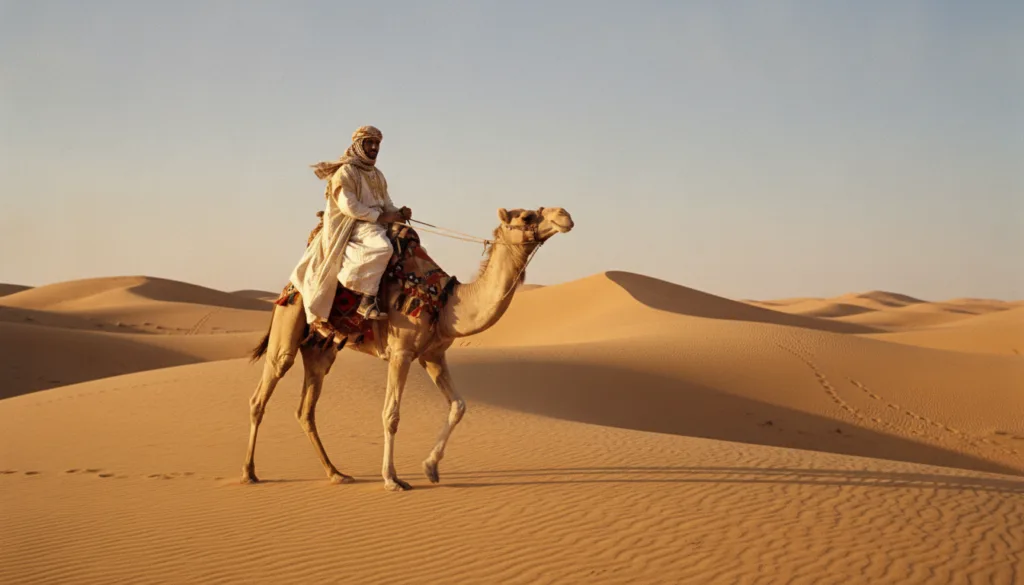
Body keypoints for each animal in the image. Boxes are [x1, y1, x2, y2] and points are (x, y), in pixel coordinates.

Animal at [243, 206, 574, 491]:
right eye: (527, 216)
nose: (564, 215)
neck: (447, 302)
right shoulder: (401, 352)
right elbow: (391, 414)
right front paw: (392, 479)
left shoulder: (433, 355)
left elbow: (458, 405)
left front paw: (431, 468)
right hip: (289, 321)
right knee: (262, 394)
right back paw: (249, 472)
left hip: (320, 349)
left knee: (306, 409)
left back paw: (336, 473)